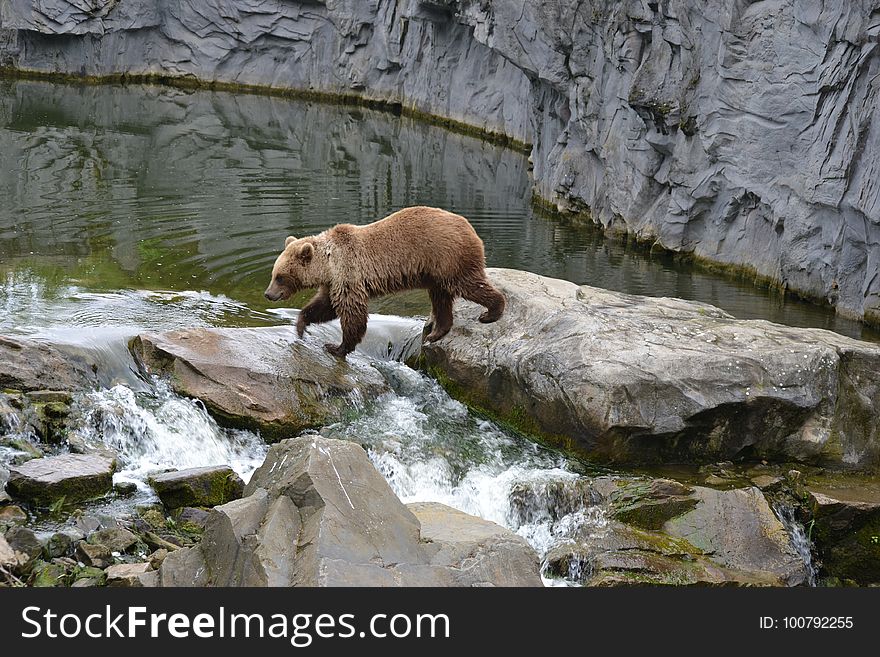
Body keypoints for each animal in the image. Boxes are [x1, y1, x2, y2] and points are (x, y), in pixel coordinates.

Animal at [264, 206, 506, 356]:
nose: (268, 294)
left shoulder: (349, 274)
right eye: (273, 274)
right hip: (435, 271)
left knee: (468, 284)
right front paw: (300, 325)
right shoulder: (334, 282)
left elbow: (352, 313)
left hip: (447, 257)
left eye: (280, 277)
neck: (329, 264)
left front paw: (337, 346)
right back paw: (436, 332)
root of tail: (470, 227)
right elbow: (325, 306)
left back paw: (491, 312)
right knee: (441, 298)